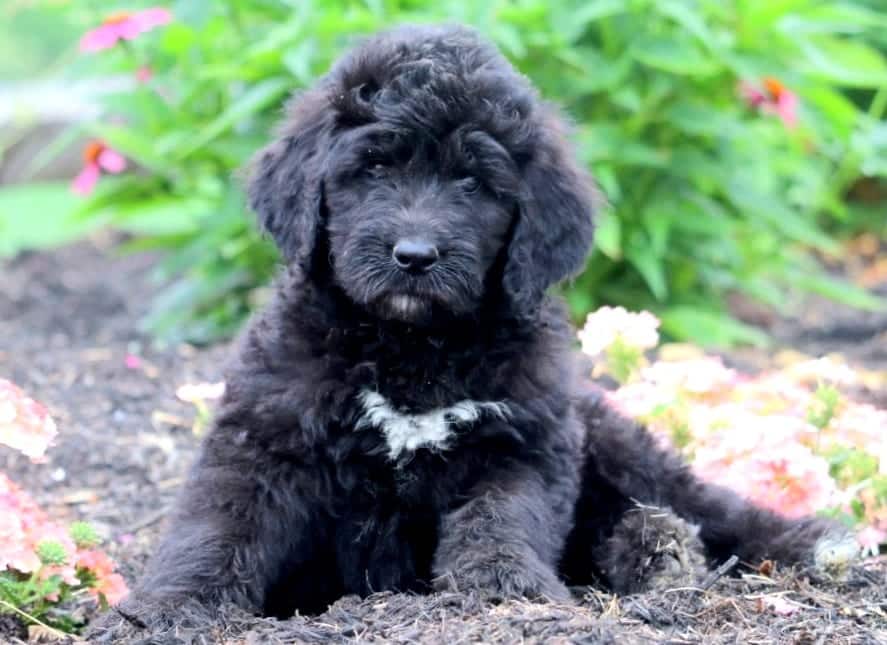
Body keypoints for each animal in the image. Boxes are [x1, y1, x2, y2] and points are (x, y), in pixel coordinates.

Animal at [88, 22, 852, 636]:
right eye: (373, 167)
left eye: (472, 183)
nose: (414, 255)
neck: (408, 350)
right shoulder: (266, 430)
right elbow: (220, 520)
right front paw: (170, 604)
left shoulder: (519, 438)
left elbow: (500, 519)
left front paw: (502, 589)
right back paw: (657, 548)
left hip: (607, 432)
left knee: (702, 501)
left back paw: (788, 542)